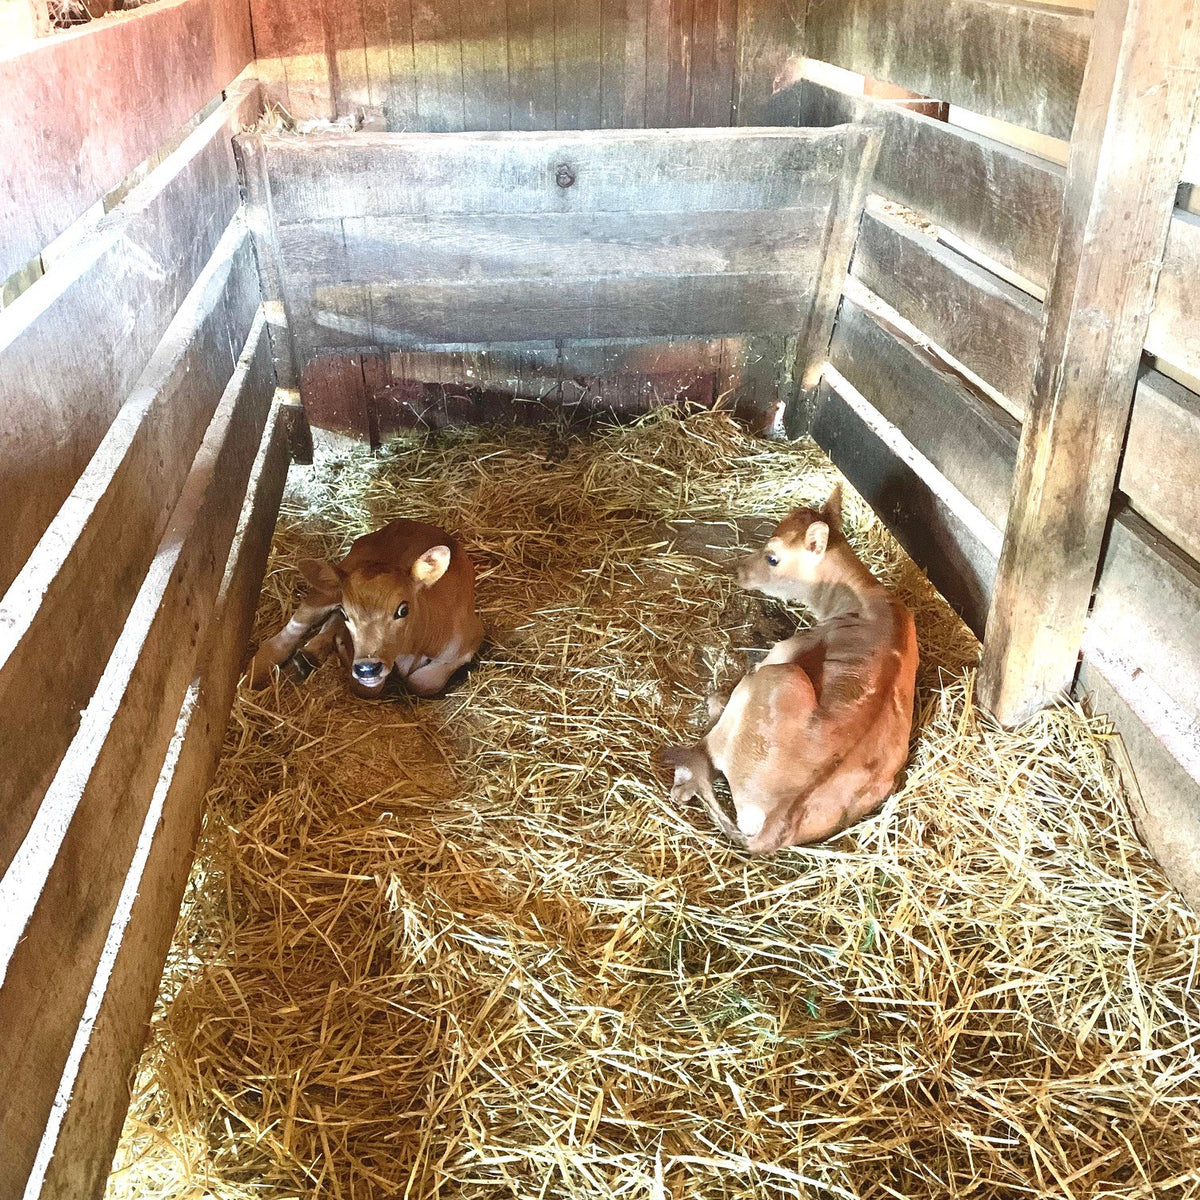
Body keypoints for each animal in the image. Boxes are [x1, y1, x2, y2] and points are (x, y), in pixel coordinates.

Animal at [248, 519, 484, 699]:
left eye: (403, 610)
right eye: (346, 613)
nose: (367, 668)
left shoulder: (469, 640)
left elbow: (423, 683)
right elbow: (370, 688)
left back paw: (309, 656)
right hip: (336, 580)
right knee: (290, 631)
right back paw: (255, 671)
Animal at [663, 485, 918, 851]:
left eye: (773, 557)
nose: (739, 571)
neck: (862, 599)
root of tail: (775, 821)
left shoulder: (786, 649)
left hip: (780, 676)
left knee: (704, 755)